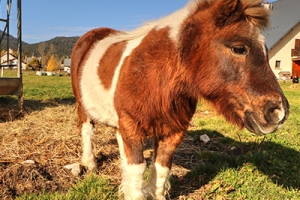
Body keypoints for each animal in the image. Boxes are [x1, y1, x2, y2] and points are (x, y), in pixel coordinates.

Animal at [69, 0, 288, 199]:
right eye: (239, 48)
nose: (279, 112)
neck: (151, 75)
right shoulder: (132, 125)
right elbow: (138, 168)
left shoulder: (172, 131)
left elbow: (161, 167)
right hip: (83, 105)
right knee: (87, 129)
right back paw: (89, 163)